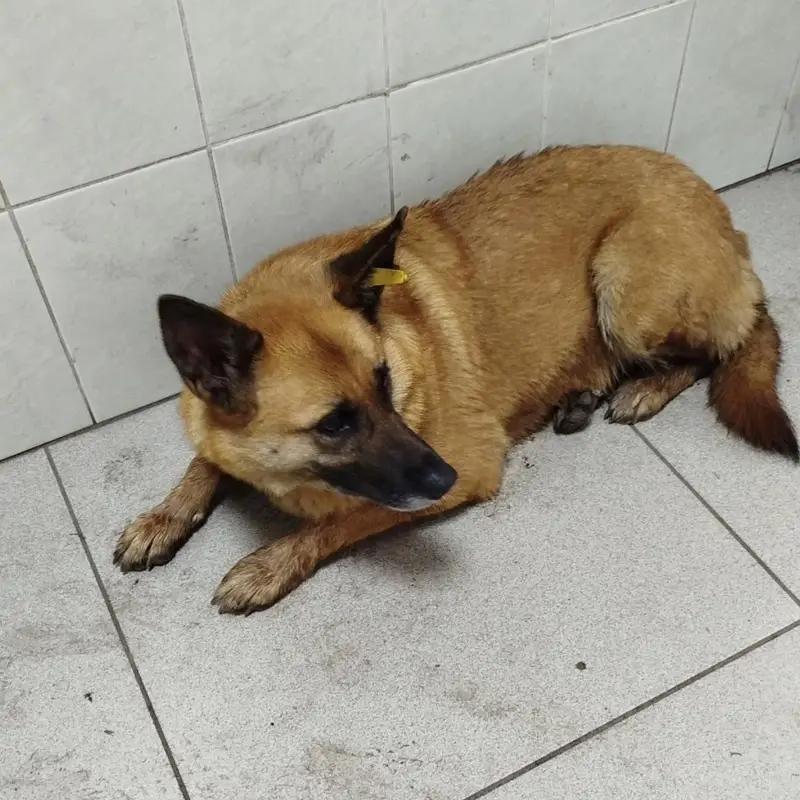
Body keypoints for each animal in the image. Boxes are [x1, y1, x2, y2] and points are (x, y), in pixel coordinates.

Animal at [113, 144, 798, 615]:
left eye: (386, 382)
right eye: (335, 422)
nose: (442, 475)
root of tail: (721, 213)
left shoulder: (465, 465)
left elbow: (340, 520)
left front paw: (266, 565)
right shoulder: (213, 426)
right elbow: (203, 462)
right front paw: (162, 517)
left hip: (626, 288)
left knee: (725, 346)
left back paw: (645, 388)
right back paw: (584, 393)